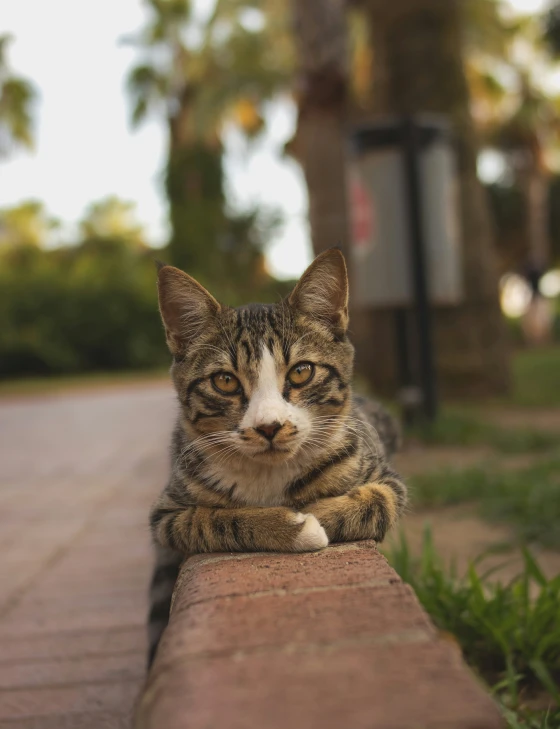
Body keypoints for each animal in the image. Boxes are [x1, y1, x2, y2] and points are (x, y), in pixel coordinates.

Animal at [147, 249, 406, 664]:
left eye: (301, 372)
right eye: (225, 381)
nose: (269, 426)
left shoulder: (383, 471)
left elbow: (378, 501)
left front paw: (317, 514)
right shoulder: (167, 512)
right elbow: (211, 520)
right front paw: (294, 526)